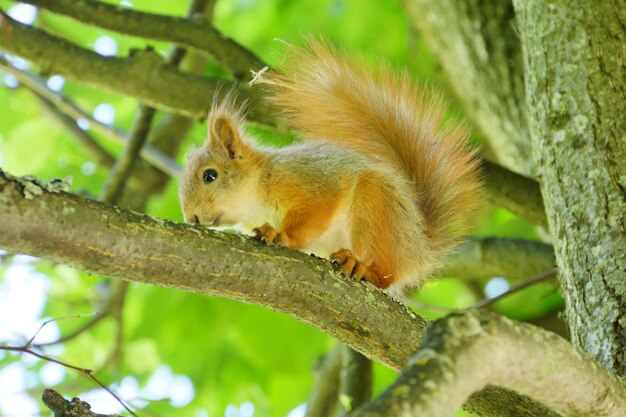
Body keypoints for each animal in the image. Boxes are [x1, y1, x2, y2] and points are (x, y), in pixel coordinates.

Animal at [178, 39, 480, 292]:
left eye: (210, 175)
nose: (192, 218)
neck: (258, 190)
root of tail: (420, 248)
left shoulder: (312, 181)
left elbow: (314, 214)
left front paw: (282, 235)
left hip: (376, 206)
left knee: (386, 274)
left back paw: (361, 266)